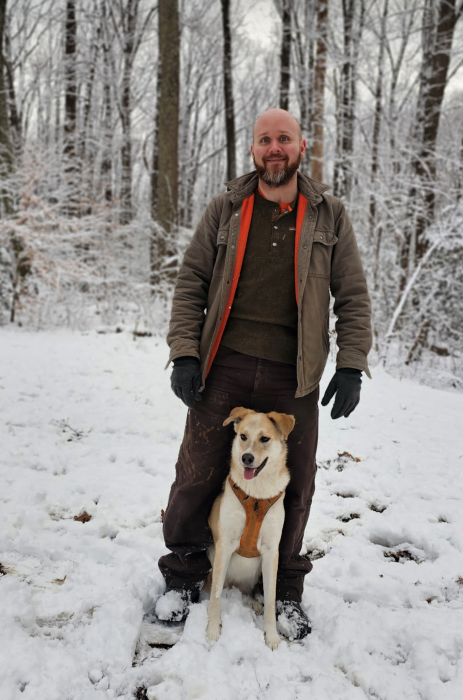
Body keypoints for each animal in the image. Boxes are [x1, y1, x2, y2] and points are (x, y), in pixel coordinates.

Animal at [206, 404, 296, 652]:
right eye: (243, 436)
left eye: (264, 438)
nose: (246, 458)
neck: (256, 496)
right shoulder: (225, 545)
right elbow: (216, 595)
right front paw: (212, 631)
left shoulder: (271, 551)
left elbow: (272, 601)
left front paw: (272, 637)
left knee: (249, 592)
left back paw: (254, 603)